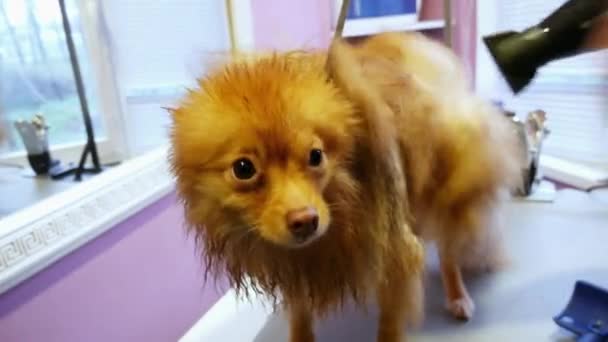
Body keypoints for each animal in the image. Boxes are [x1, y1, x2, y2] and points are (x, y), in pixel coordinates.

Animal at [169, 31, 520, 340]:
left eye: (315, 156)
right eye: (244, 169)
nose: (305, 221)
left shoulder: (394, 255)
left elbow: (389, 327)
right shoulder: (297, 272)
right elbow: (300, 320)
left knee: (448, 251)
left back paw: (458, 296)